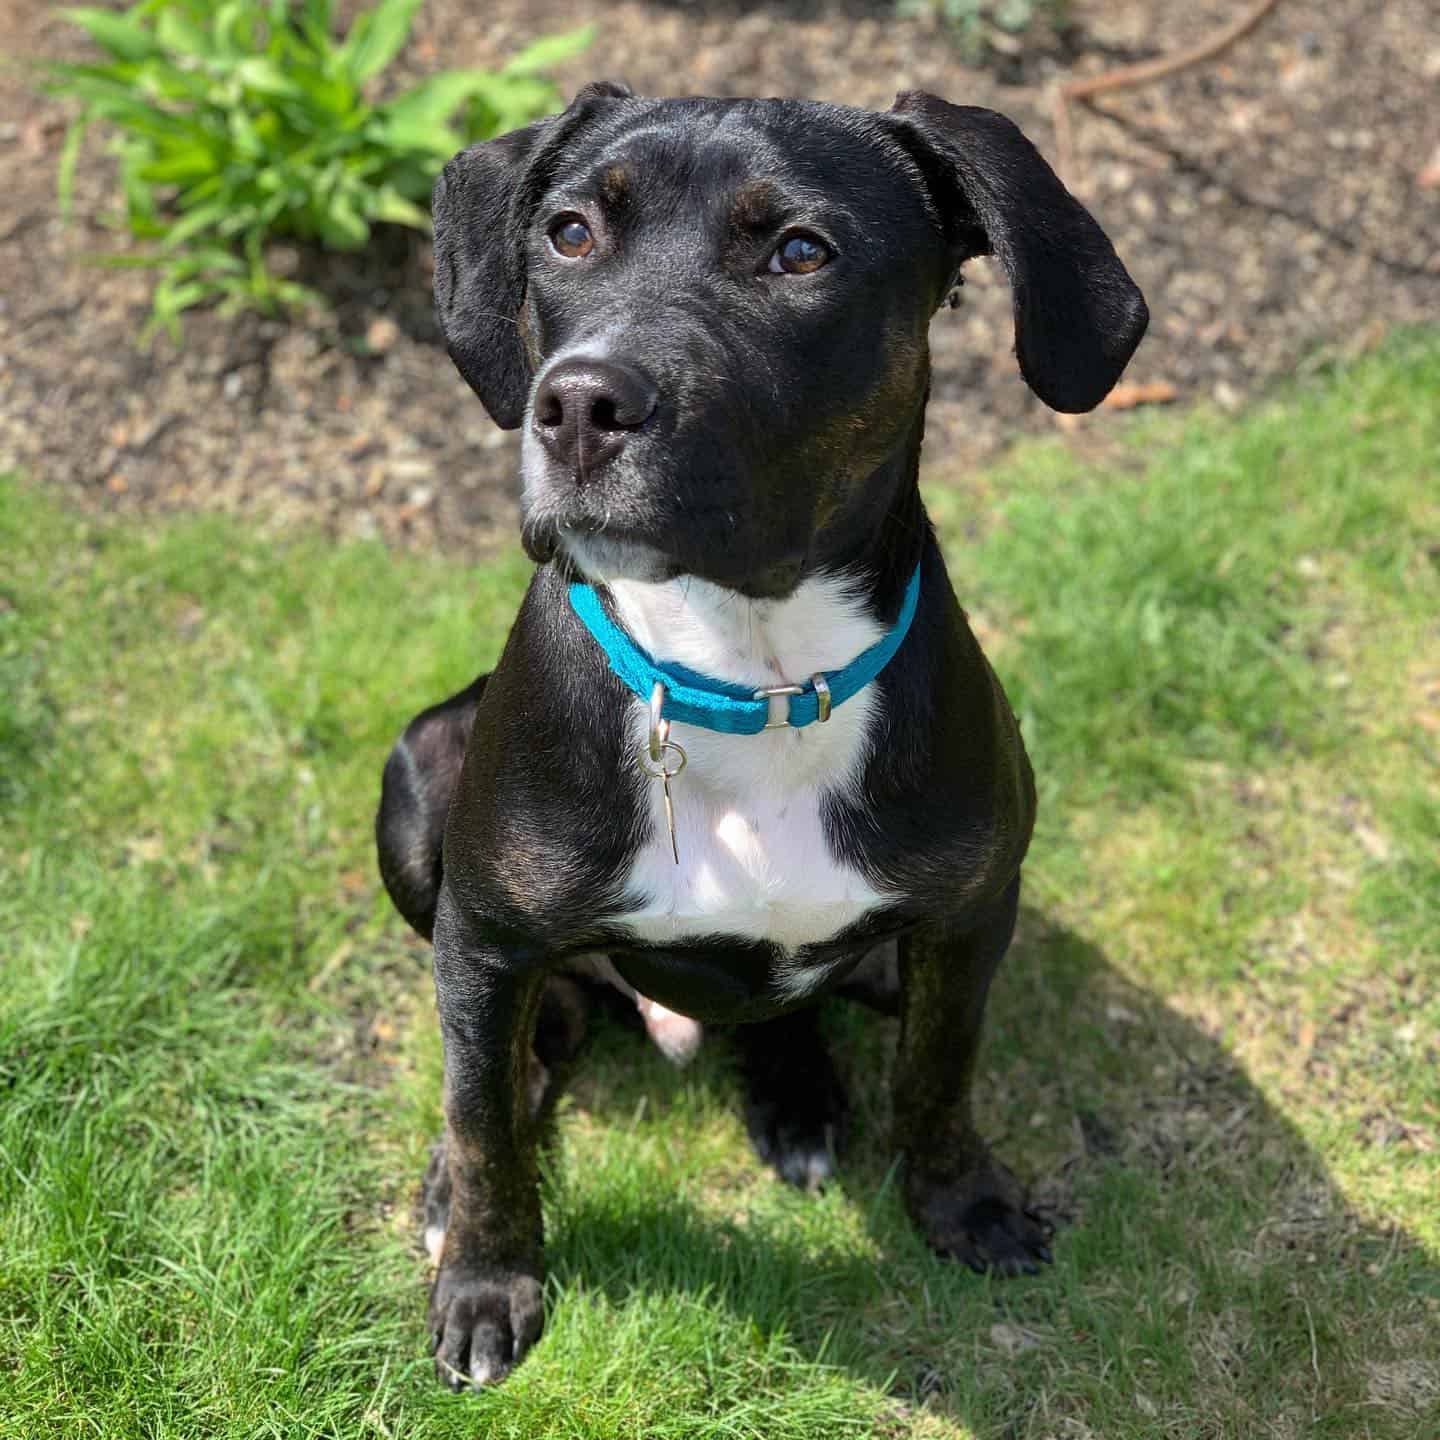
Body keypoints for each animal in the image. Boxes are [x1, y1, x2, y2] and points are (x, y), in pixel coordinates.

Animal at [374, 84, 1146, 1388]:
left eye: (800, 252)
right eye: (570, 233)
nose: (578, 405)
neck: (750, 674)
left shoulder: (967, 915)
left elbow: (941, 1073)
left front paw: (963, 1203)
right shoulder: (487, 936)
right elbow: (481, 1122)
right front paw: (484, 1279)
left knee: (780, 1005)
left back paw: (794, 1098)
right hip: (422, 774)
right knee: (524, 1048)